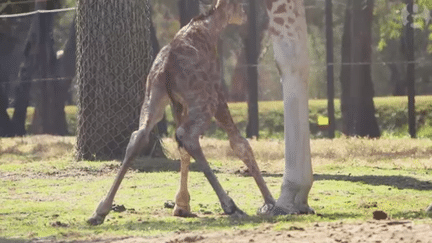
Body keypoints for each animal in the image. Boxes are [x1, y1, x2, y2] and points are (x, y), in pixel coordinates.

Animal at [88, 0, 276, 225]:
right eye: (241, 5)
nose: (245, 16)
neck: (210, 28)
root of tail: (166, 67)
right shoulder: (217, 93)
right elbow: (240, 144)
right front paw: (270, 202)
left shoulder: (178, 104)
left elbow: (182, 151)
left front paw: (181, 205)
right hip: (204, 101)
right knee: (188, 136)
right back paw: (230, 205)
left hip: (154, 97)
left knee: (140, 136)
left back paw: (100, 210)